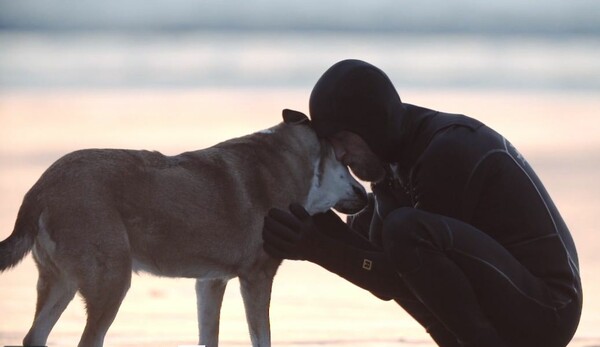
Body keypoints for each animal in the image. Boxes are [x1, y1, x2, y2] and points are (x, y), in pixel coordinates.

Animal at [0, 111, 368, 347]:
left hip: (61, 282)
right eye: (346, 161)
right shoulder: (257, 277)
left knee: (34, 337)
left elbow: (209, 337)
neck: (291, 163)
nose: (366, 196)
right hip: (111, 281)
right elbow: (262, 338)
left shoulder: (210, 282)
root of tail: (40, 189)